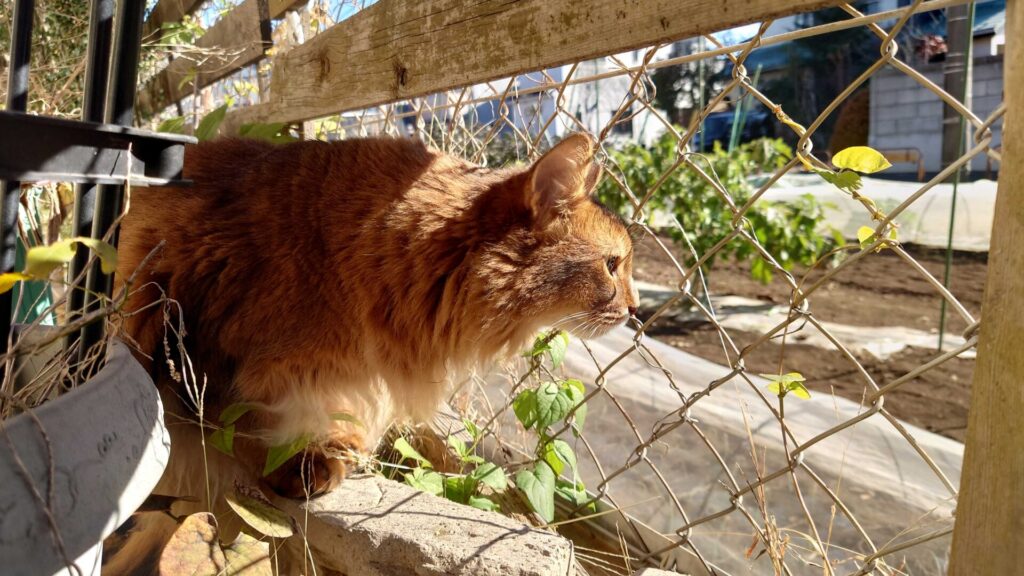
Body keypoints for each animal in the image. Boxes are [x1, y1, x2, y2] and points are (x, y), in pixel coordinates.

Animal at [116, 132, 634, 496]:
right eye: (612, 265)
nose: (634, 310)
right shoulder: (212, 338)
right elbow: (242, 419)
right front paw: (296, 463)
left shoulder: (349, 373)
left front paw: (336, 448)